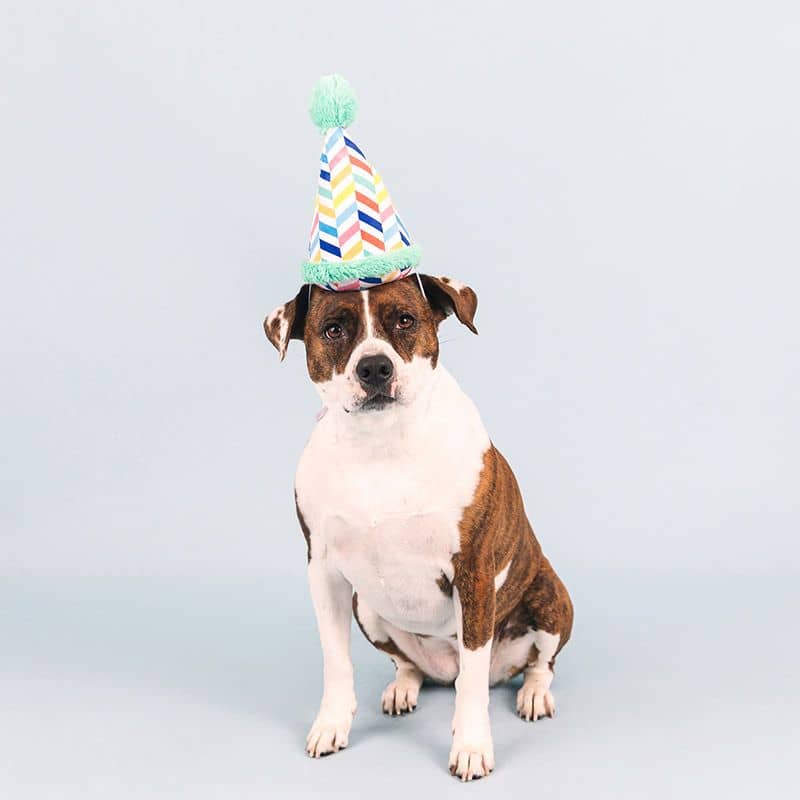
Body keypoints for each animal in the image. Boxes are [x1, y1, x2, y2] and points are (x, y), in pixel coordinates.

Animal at [266, 276, 572, 780]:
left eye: (405, 320)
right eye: (334, 330)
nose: (374, 367)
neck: (381, 442)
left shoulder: (473, 573)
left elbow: (473, 684)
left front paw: (471, 746)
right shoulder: (324, 572)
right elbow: (336, 661)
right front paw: (331, 724)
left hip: (551, 599)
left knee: (534, 665)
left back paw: (532, 694)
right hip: (367, 609)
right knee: (410, 665)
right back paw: (403, 688)